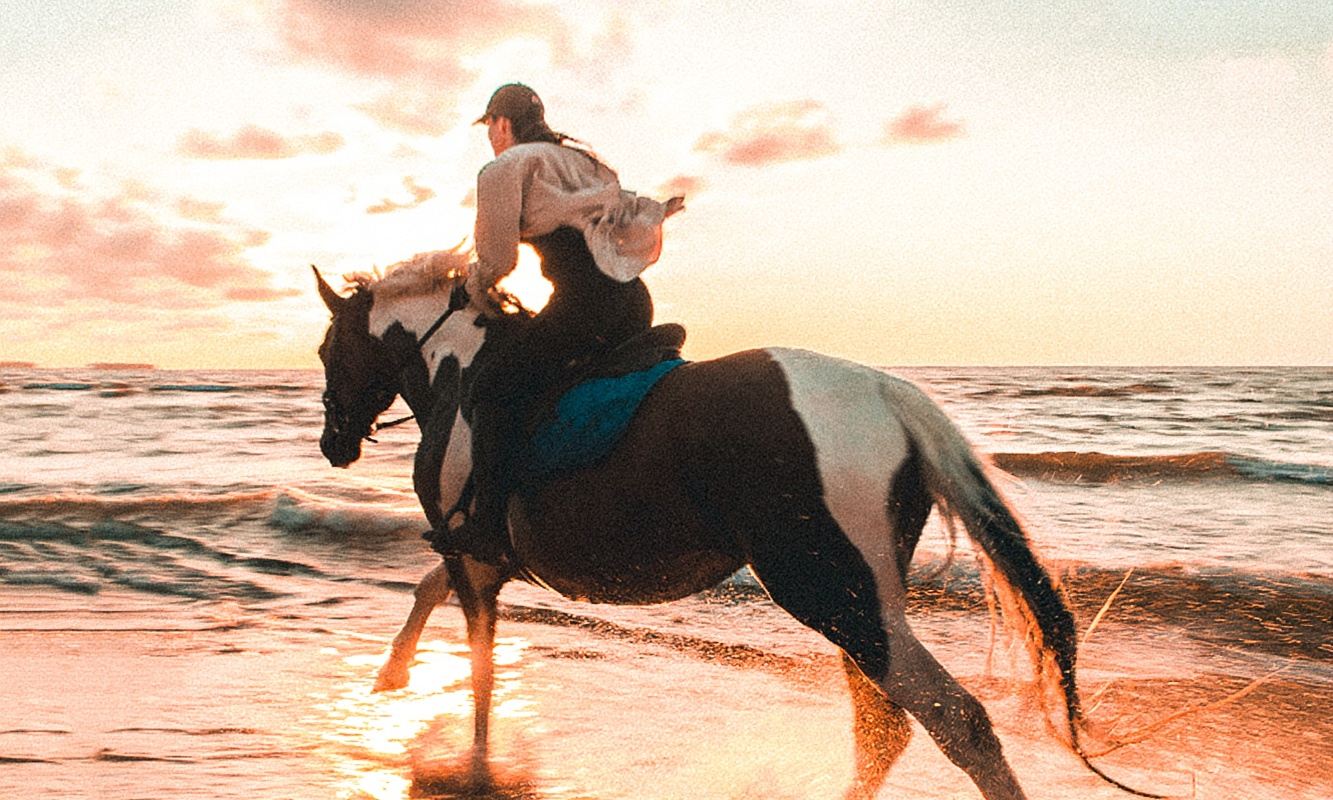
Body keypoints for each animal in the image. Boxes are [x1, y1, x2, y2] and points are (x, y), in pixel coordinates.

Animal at [312, 248, 1150, 800]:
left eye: (326, 348)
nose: (334, 443)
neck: (461, 374)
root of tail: (886, 396)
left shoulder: (476, 555)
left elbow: (480, 668)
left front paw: (470, 761)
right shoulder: (484, 556)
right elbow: (428, 590)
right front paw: (391, 675)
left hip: (827, 590)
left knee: (951, 719)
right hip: (858, 596)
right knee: (885, 727)